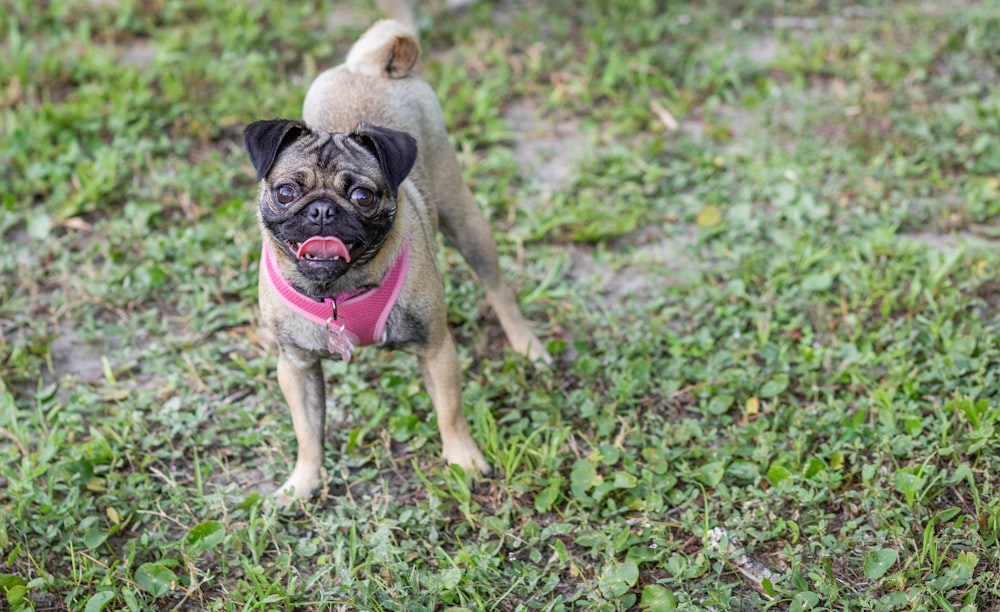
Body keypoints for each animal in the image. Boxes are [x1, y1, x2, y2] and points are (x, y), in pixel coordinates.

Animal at [245, 20, 552, 506]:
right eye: (286, 192)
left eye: (362, 196)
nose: (322, 211)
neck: (338, 291)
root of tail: (370, 67)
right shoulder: (296, 366)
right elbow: (307, 431)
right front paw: (302, 482)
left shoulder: (436, 348)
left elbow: (450, 411)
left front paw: (464, 461)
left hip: (465, 218)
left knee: (497, 288)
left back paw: (528, 346)